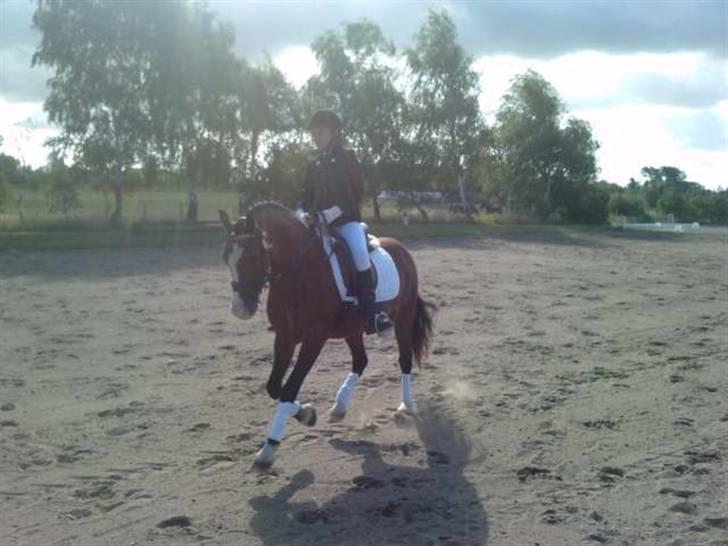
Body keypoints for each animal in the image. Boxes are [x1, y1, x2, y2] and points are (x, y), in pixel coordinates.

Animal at [216, 202, 432, 466]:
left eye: (252, 256)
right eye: (226, 257)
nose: (240, 309)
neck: (297, 271)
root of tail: (399, 247)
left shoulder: (314, 339)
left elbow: (289, 388)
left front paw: (269, 448)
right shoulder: (285, 337)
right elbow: (274, 386)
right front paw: (306, 414)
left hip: (404, 318)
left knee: (404, 359)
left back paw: (406, 405)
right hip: (352, 329)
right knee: (361, 360)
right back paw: (340, 406)